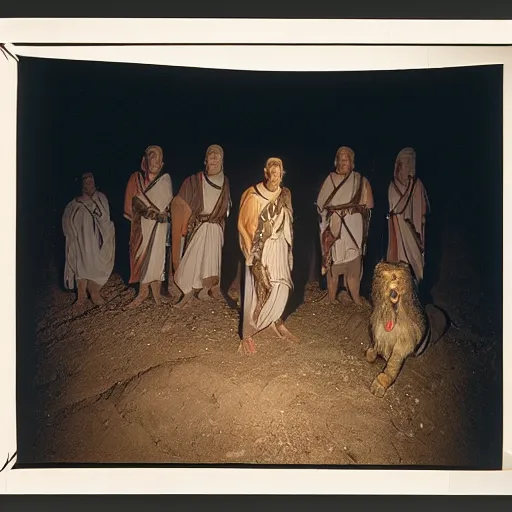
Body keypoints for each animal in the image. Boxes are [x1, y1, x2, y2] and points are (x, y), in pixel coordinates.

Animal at [366, 262, 450, 398]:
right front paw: (371, 353)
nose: (379, 266)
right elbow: (373, 349)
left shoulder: (403, 344)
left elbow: (392, 365)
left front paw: (380, 385)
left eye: (394, 276)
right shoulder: (378, 332)